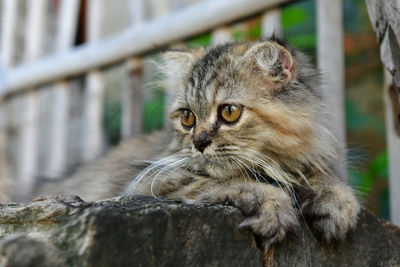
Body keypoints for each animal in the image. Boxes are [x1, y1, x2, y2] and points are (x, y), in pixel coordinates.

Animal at [39, 39, 360, 249]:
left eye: (229, 112)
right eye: (188, 118)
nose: (199, 142)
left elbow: (326, 179)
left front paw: (337, 208)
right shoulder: (150, 184)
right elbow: (226, 181)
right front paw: (273, 206)